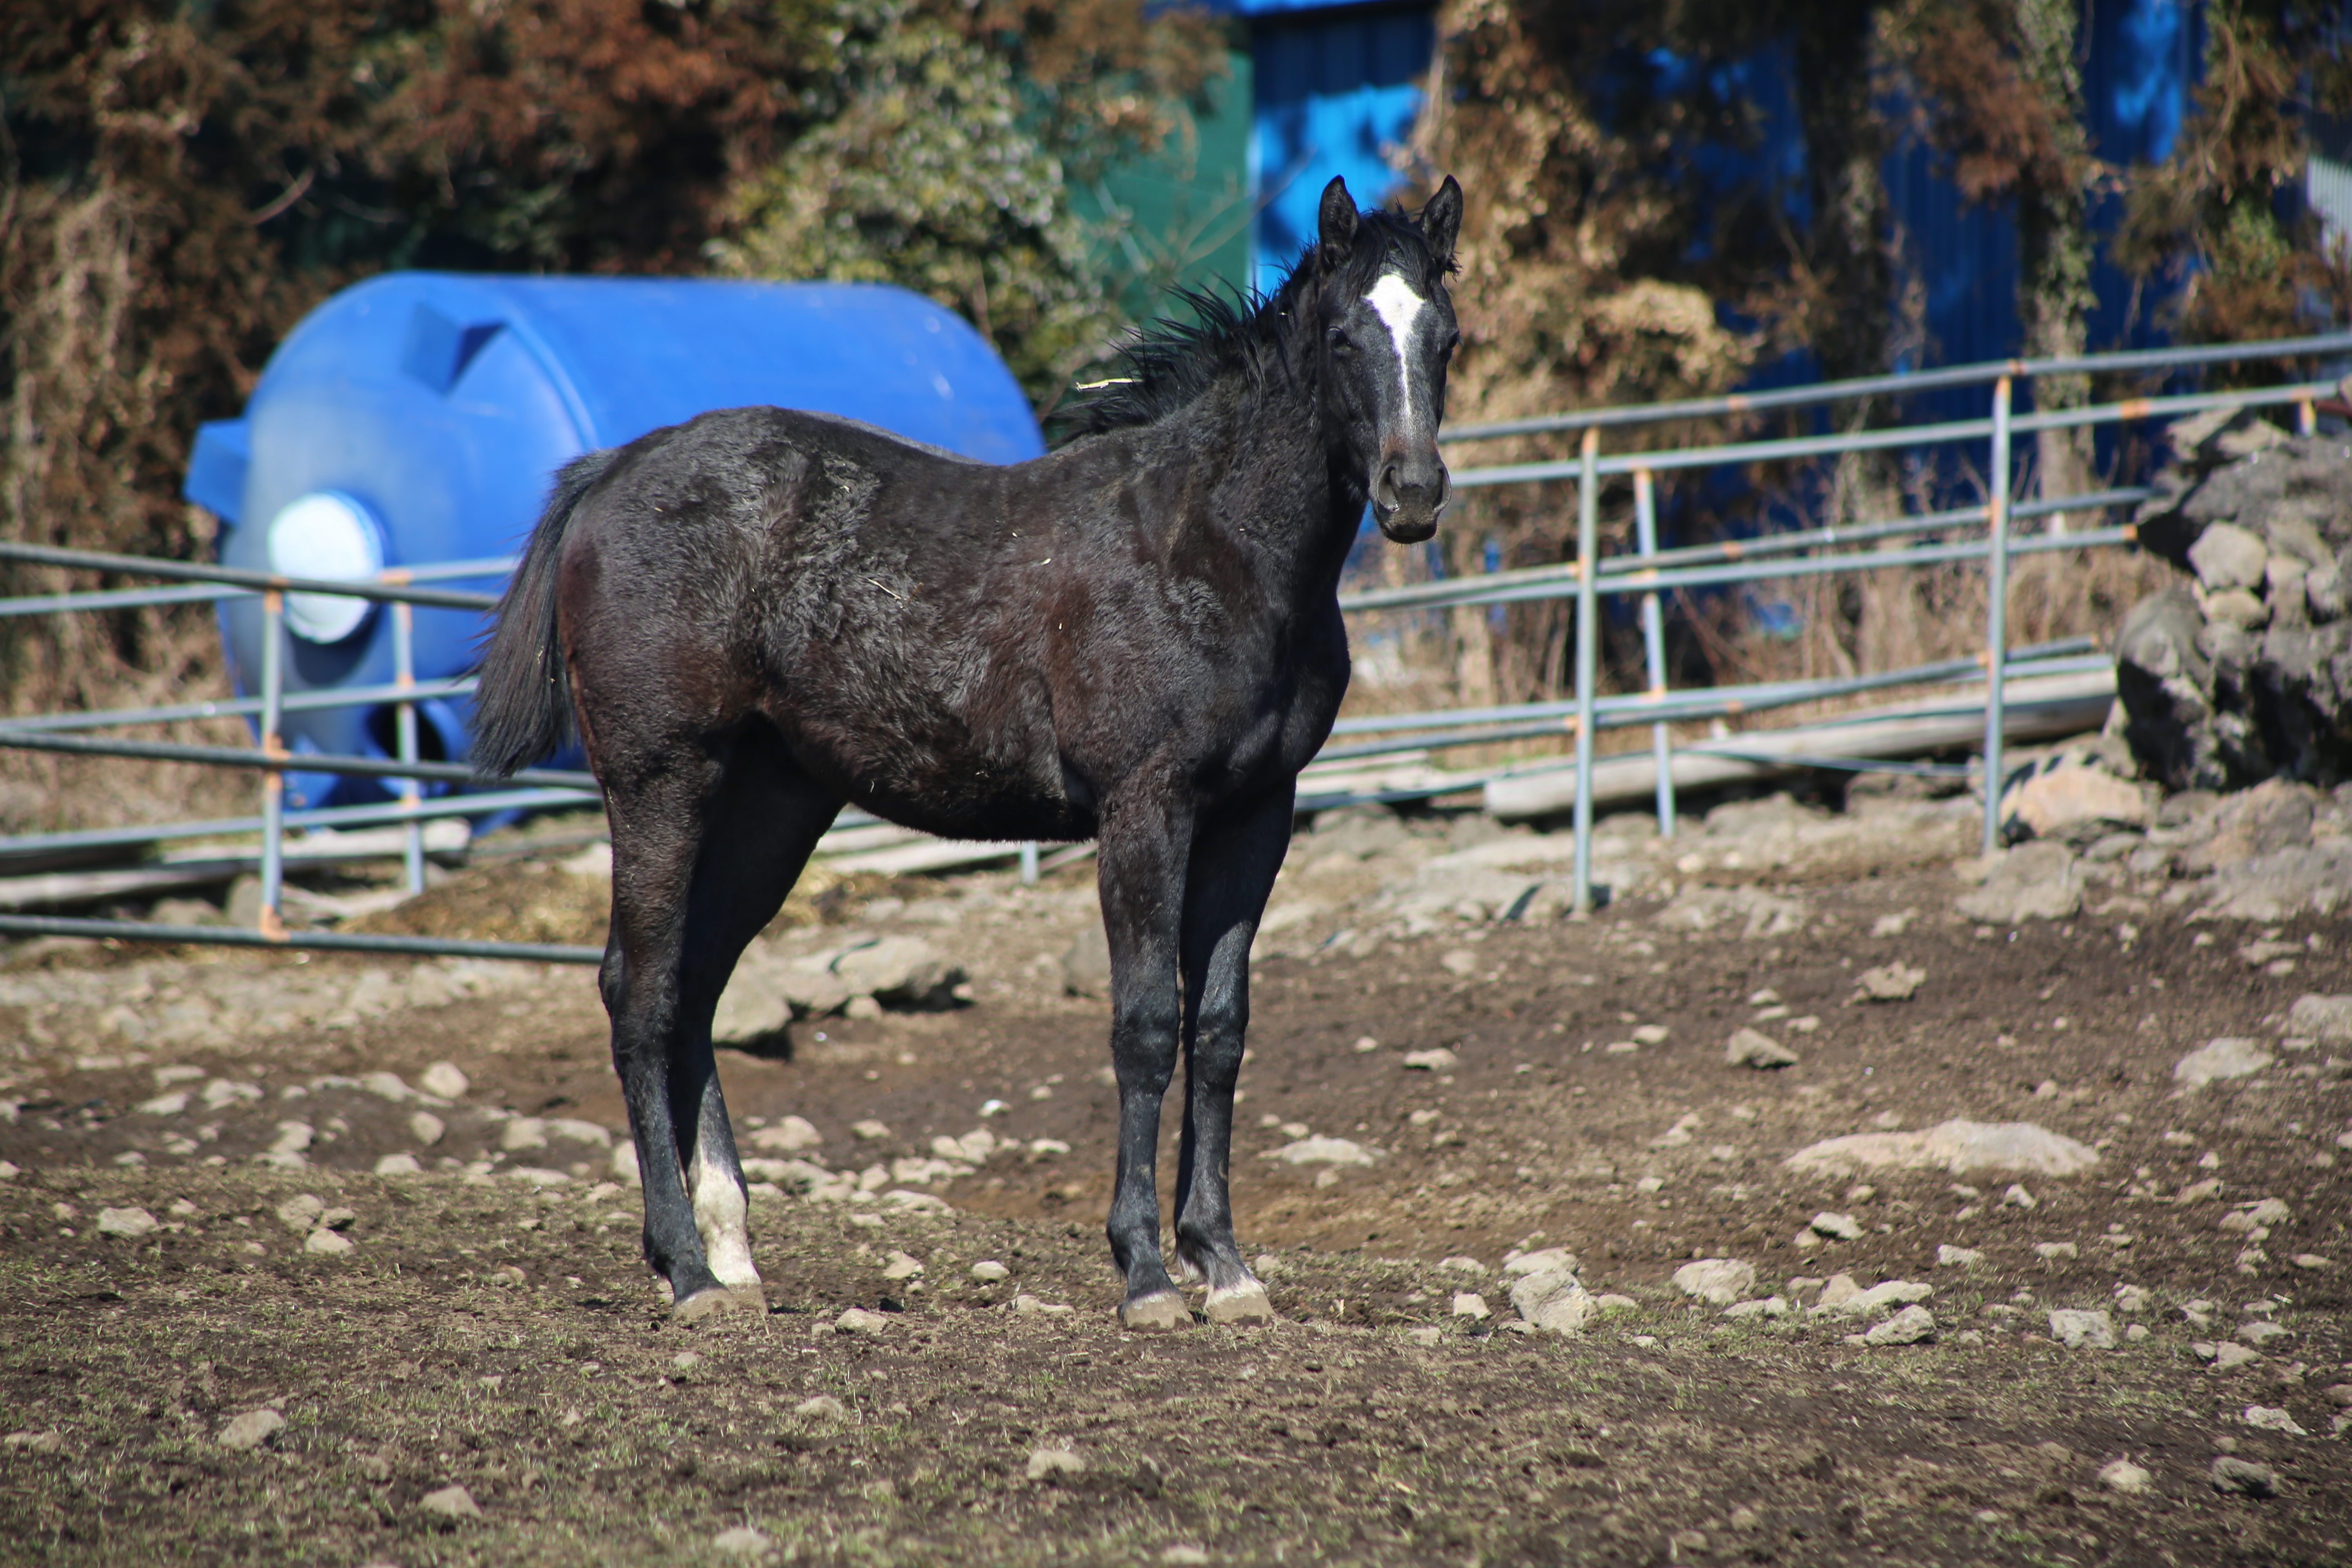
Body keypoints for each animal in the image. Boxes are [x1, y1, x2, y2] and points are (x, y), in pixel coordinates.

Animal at [475, 177, 1458, 1335]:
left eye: (1445, 336)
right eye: (1346, 337)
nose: (1412, 494)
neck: (1210, 546)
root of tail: (612, 469)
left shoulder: (1257, 814)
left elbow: (1218, 1029)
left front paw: (1224, 1264)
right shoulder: (1144, 807)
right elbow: (1144, 1024)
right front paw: (1146, 1272)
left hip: (774, 806)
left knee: (699, 985)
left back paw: (733, 1252)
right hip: (660, 782)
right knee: (643, 990)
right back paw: (684, 1267)